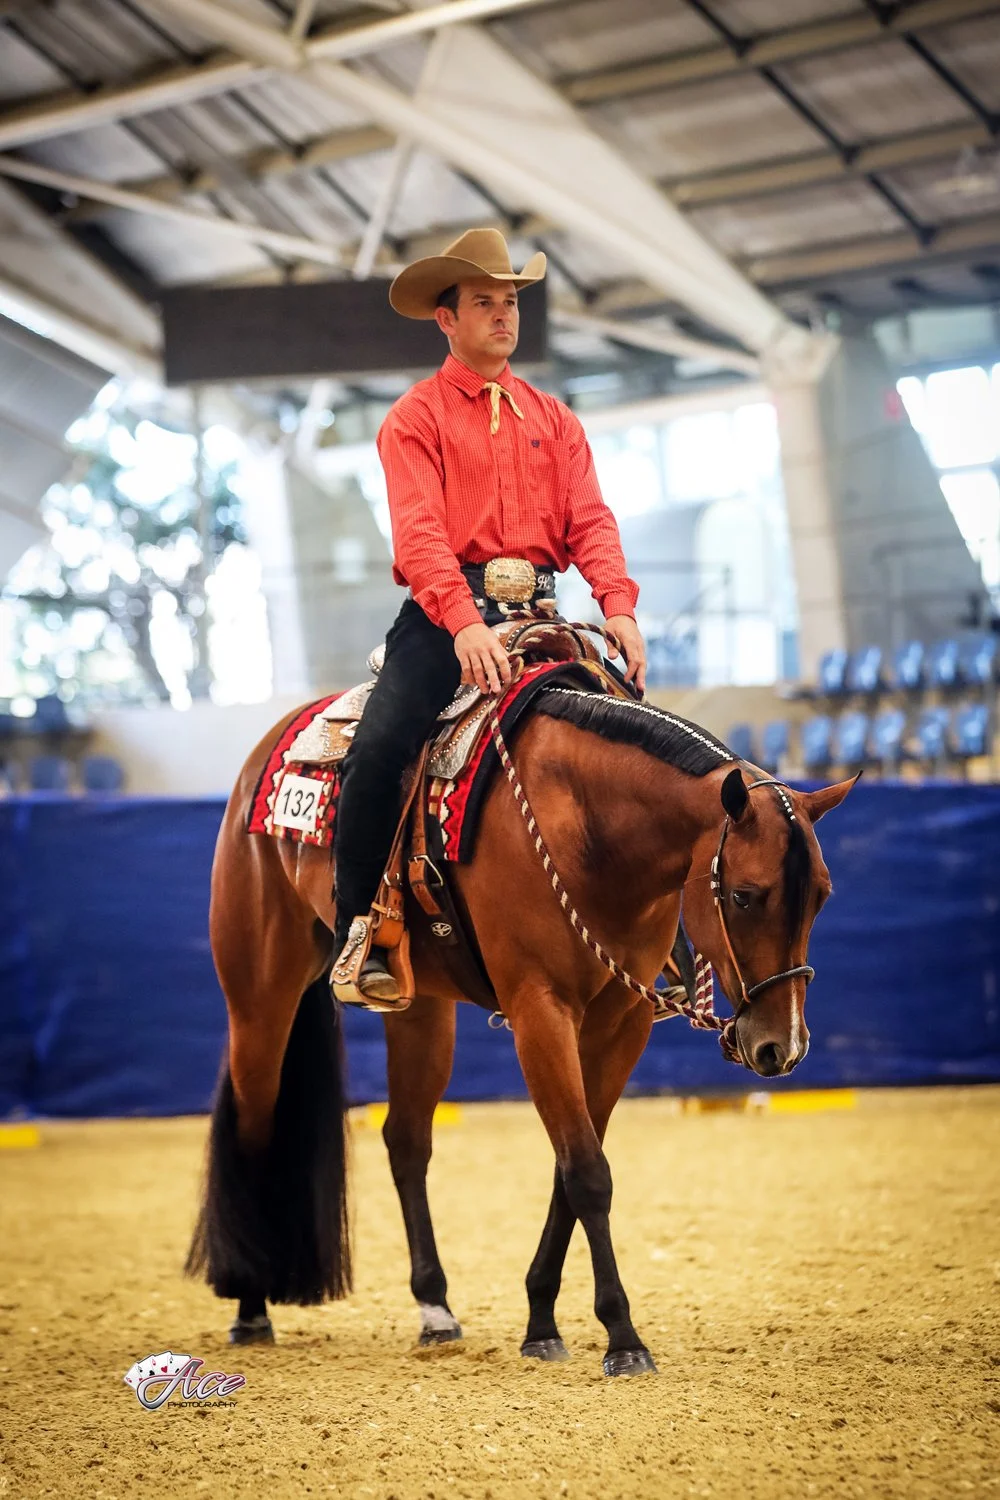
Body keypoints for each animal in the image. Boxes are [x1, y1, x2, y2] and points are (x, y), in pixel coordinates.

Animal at [186, 665, 854, 1376]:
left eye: (821, 895)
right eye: (745, 896)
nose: (782, 1047)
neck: (588, 826)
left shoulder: (622, 1022)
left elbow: (572, 1166)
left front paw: (541, 1321)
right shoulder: (540, 1012)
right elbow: (587, 1172)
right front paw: (623, 1337)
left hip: (421, 1010)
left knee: (406, 1141)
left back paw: (435, 1310)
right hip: (260, 993)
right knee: (256, 1124)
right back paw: (251, 1304)